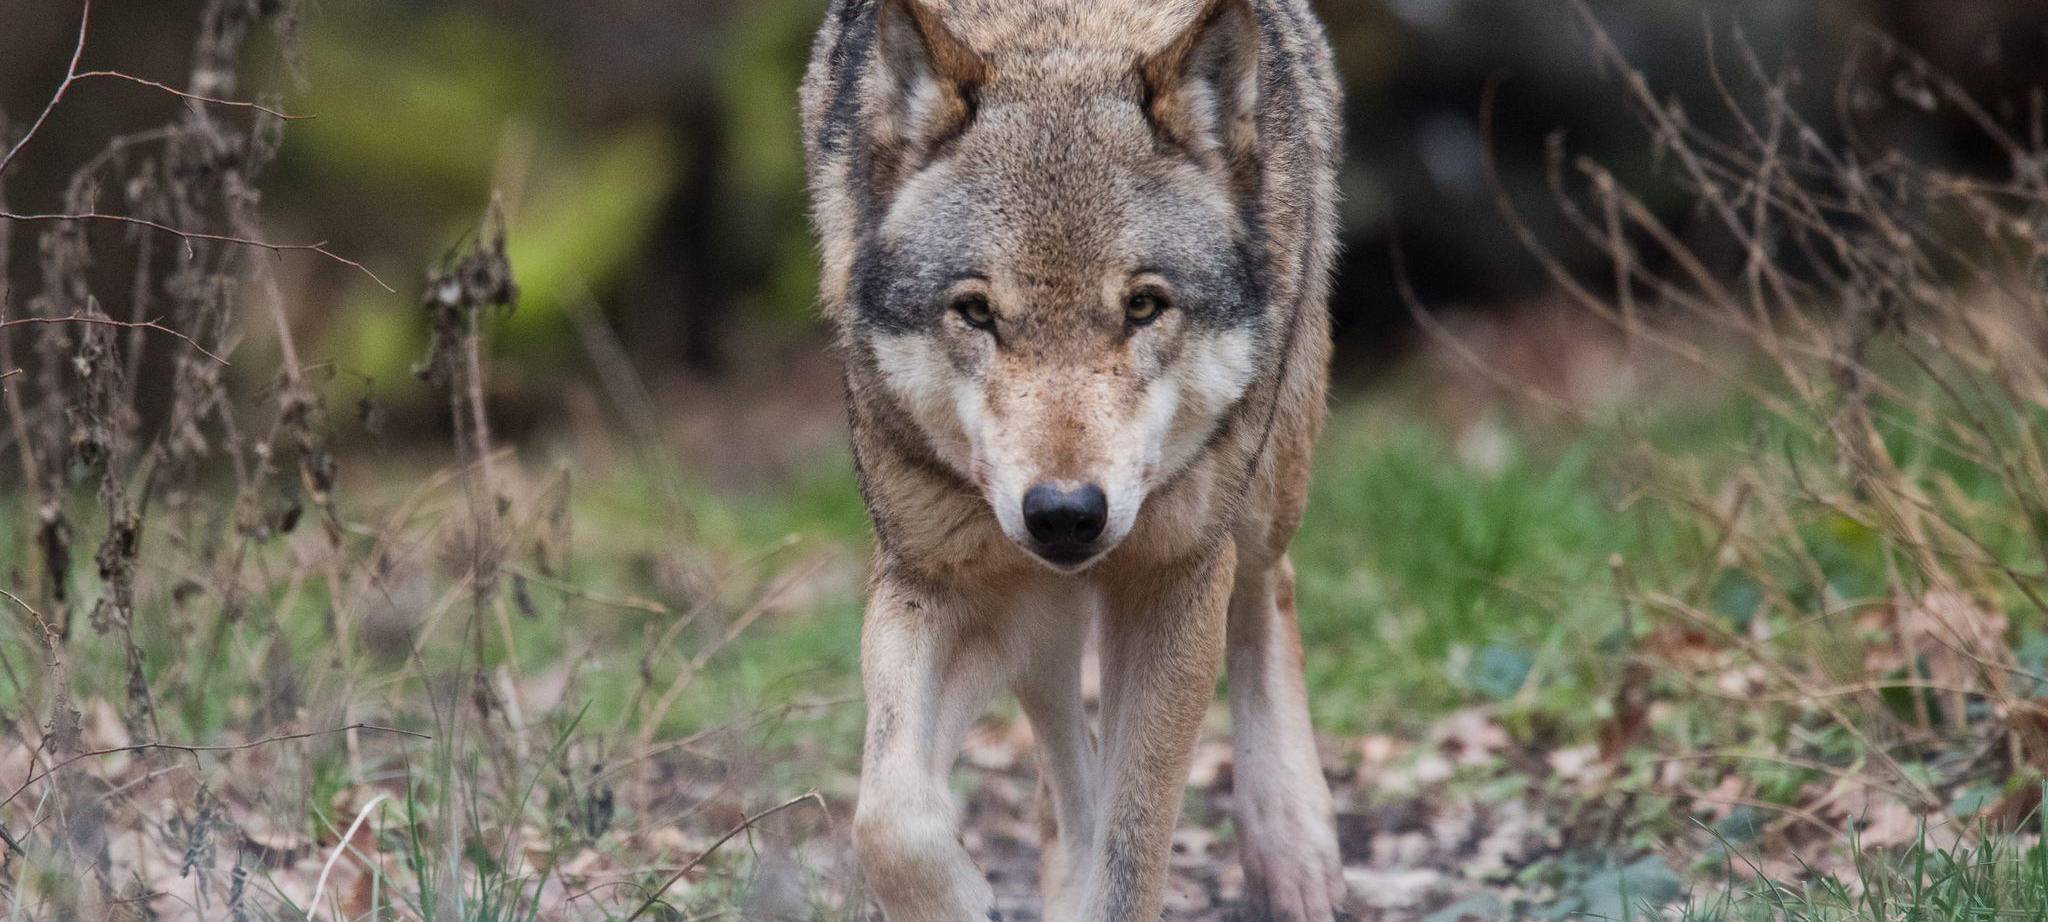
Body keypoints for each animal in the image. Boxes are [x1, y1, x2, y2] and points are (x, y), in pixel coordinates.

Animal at [800, 0, 1344, 918]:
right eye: (977, 312)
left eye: (1144, 306)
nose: (1063, 513)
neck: (1061, 34)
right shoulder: (938, 577)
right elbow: (888, 816)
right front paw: (961, 895)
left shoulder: (1173, 580)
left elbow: (1132, 854)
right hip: (1037, 614)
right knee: (1063, 758)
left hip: (1266, 479)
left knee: (1272, 586)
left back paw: (1294, 851)